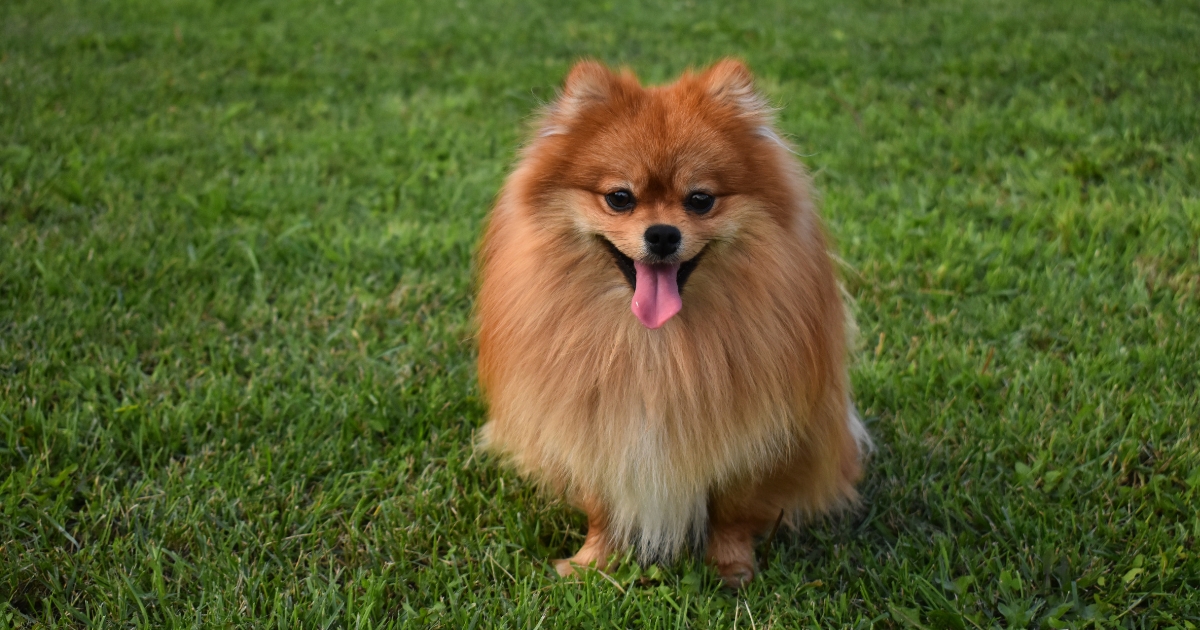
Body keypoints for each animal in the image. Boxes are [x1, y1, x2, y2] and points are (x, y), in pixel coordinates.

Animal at [472, 58, 868, 590]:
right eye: (620, 198)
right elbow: (601, 506)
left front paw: (731, 568)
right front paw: (592, 563)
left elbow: (732, 510)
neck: (653, 344)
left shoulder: (751, 436)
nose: (662, 234)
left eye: (700, 200)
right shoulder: (594, 425)